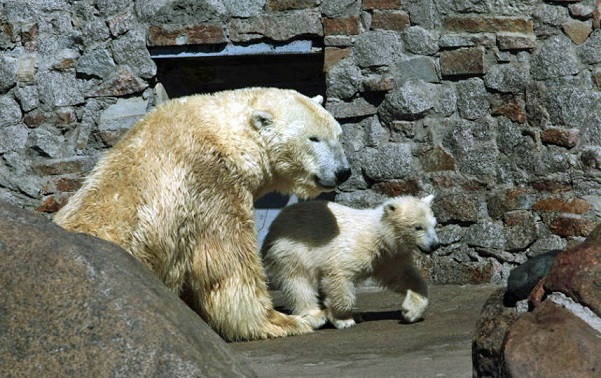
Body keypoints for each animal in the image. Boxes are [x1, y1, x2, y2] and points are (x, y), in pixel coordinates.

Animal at [54, 87, 352, 342]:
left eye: (338, 135)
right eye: (313, 138)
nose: (342, 172)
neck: (223, 134)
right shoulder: (210, 184)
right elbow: (229, 266)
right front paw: (292, 321)